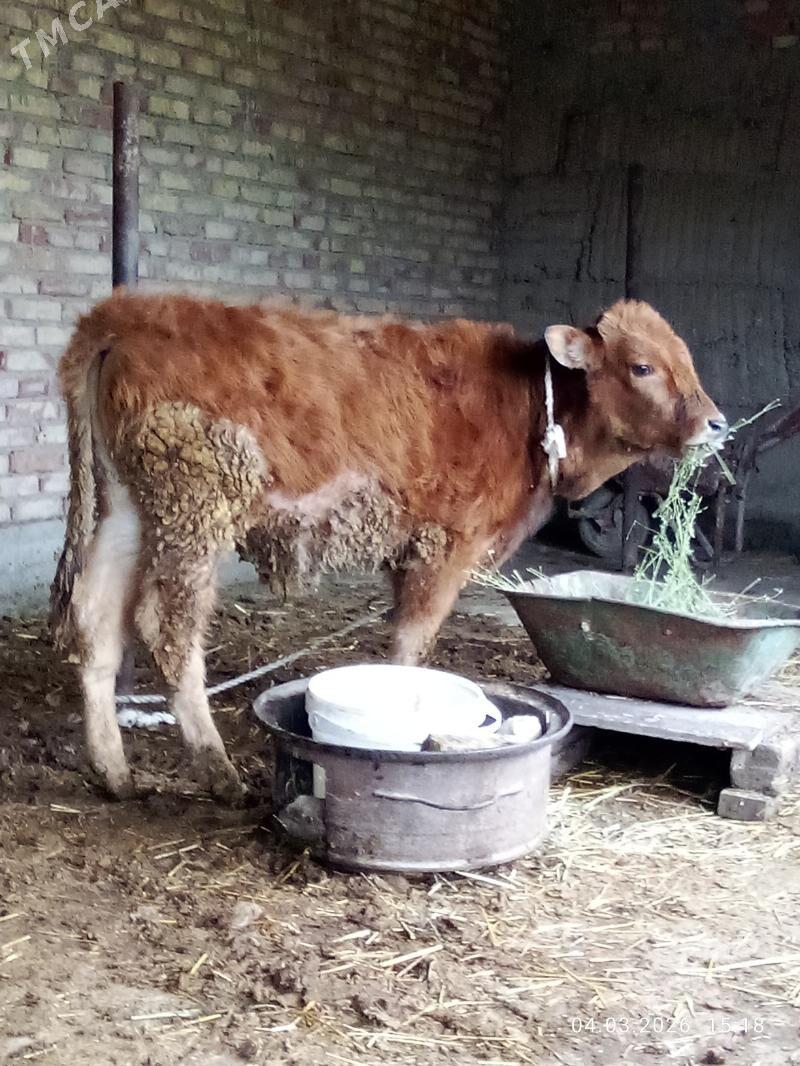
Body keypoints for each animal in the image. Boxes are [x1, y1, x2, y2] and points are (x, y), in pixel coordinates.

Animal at [50, 293, 726, 802]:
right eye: (642, 367)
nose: (717, 423)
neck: (531, 409)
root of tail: (129, 310)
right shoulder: (446, 545)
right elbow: (411, 645)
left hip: (128, 506)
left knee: (96, 619)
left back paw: (113, 772)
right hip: (196, 501)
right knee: (165, 626)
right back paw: (219, 772)